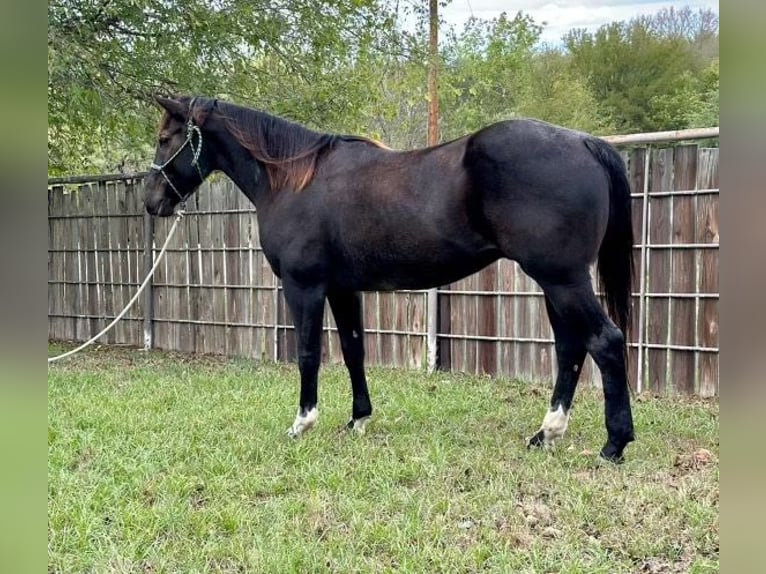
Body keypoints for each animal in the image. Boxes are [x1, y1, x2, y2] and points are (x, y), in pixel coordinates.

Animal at [144, 94, 636, 464]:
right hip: (555, 282)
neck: (293, 180)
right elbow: (353, 350)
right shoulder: (343, 288)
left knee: (605, 342)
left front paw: (302, 423)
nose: (152, 201)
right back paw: (546, 433)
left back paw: (613, 444)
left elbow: (308, 353)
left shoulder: (304, 287)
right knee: (571, 348)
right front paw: (358, 419)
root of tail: (584, 142)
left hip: (562, 280)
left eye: (166, 138)